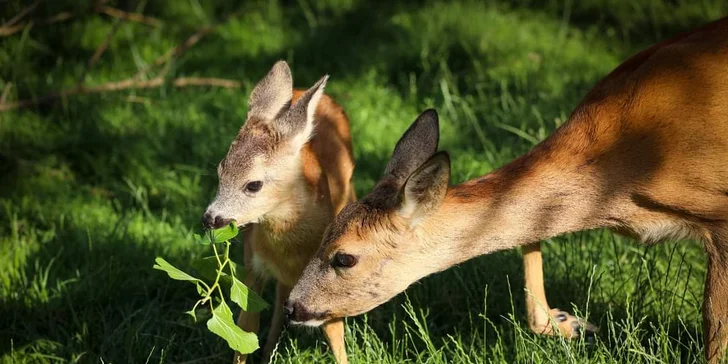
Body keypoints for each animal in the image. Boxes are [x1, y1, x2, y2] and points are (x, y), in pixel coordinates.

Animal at [202, 61, 356, 364]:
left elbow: (334, 331)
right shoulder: (253, 263)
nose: (210, 218)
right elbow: (246, 326)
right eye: (220, 171)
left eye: (253, 184)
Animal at [282, 15, 728, 362]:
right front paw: (568, 324)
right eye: (324, 235)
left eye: (344, 258)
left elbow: (714, 320)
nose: (291, 306)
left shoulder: (720, 217)